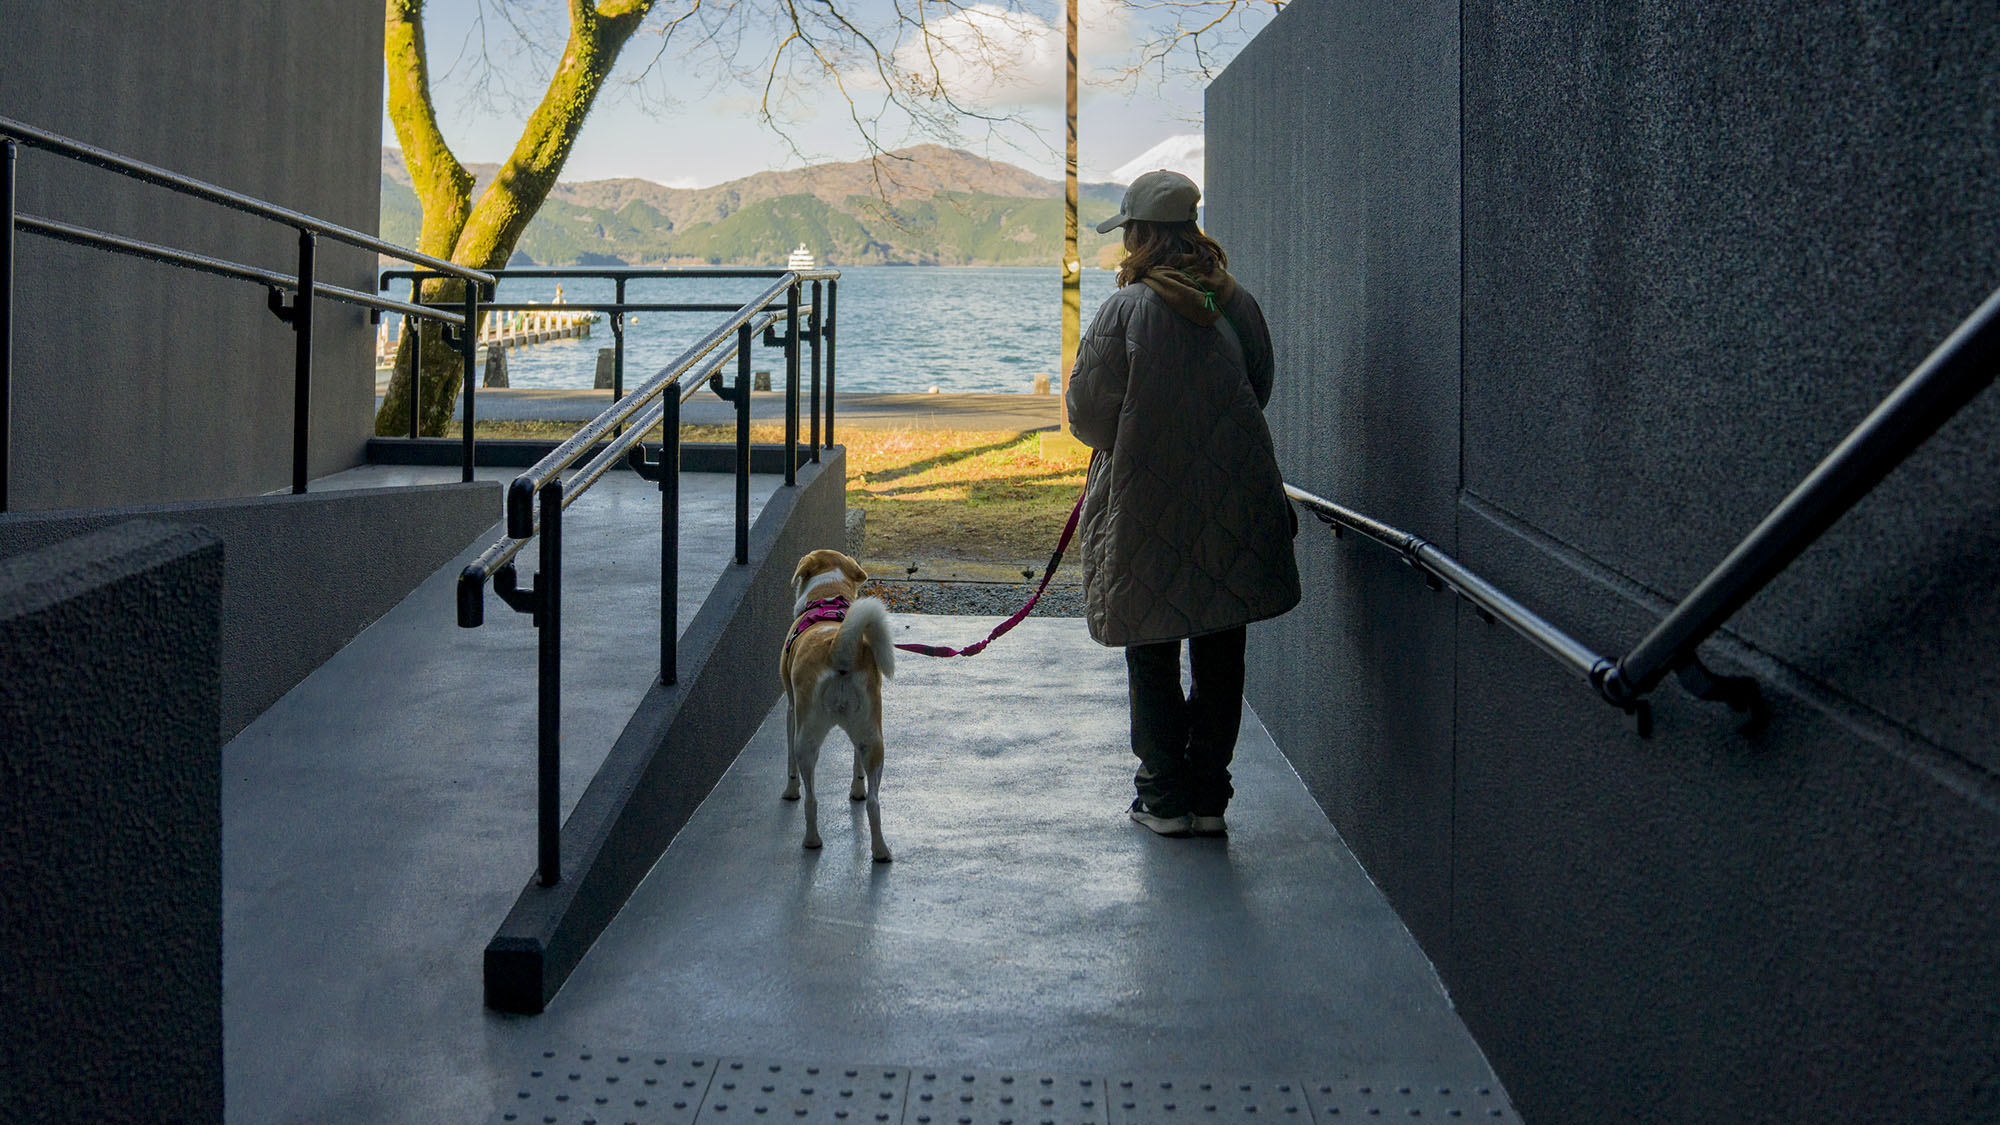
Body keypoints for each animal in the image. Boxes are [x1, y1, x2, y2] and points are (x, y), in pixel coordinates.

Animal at [780, 544, 900, 856]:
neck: (827, 596)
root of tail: (838, 648)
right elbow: (857, 767)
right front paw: (856, 790)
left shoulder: (791, 710)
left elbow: (790, 766)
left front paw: (790, 792)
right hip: (873, 738)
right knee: (874, 803)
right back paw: (880, 851)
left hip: (806, 738)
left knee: (812, 799)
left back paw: (811, 840)